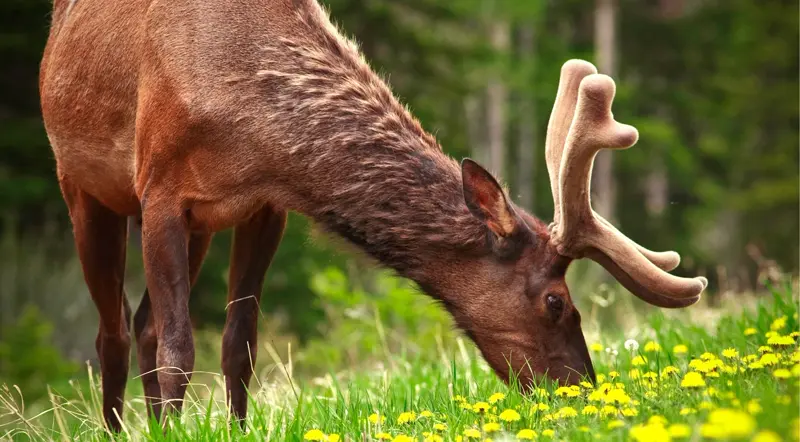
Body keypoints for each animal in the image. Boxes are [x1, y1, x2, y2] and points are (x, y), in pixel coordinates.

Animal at [38, 0, 707, 432]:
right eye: (555, 301)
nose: (584, 391)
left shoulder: (264, 206)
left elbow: (240, 341)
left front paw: (234, 426)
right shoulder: (160, 190)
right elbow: (181, 345)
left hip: (197, 229)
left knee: (144, 323)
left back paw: (155, 424)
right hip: (83, 188)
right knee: (114, 332)